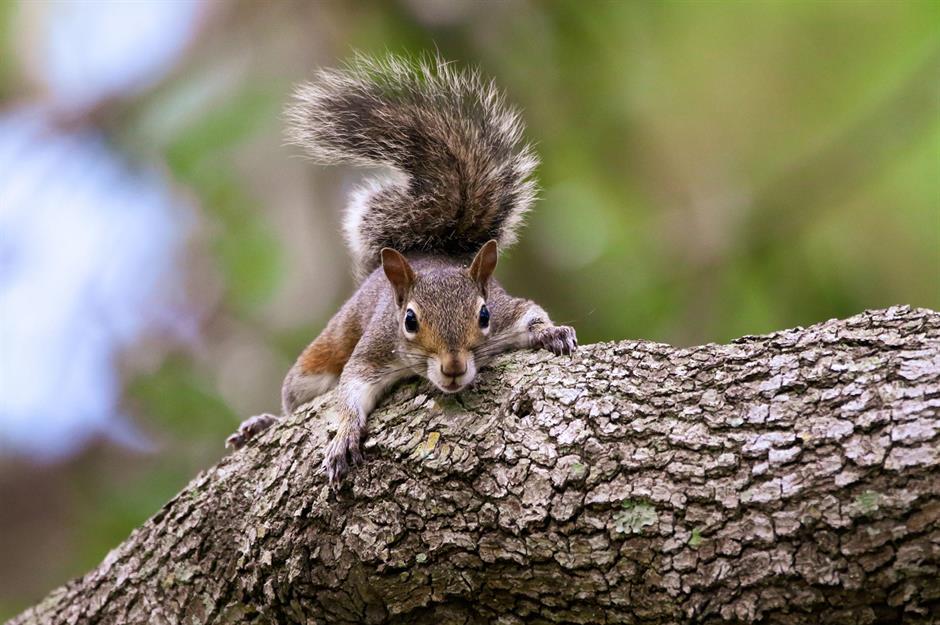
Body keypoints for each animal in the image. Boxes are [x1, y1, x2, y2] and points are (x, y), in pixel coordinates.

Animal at [225, 55, 577, 485]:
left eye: (484, 315)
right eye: (409, 321)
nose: (453, 368)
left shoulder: (508, 310)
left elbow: (532, 315)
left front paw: (552, 333)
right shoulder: (374, 349)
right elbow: (349, 390)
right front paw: (344, 434)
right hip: (318, 359)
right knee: (295, 400)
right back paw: (262, 423)